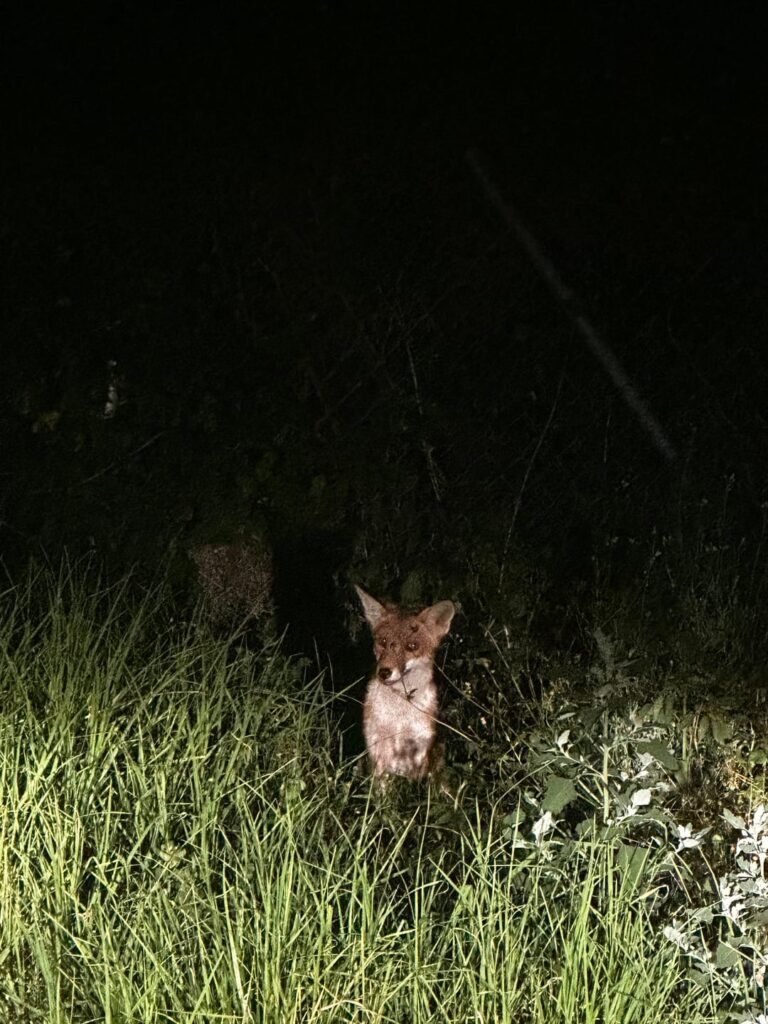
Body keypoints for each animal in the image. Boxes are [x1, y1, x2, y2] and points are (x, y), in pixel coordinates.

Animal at [355, 585, 456, 781]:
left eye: (412, 646)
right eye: (383, 641)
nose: (384, 672)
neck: (398, 719)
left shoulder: (419, 751)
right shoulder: (377, 749)